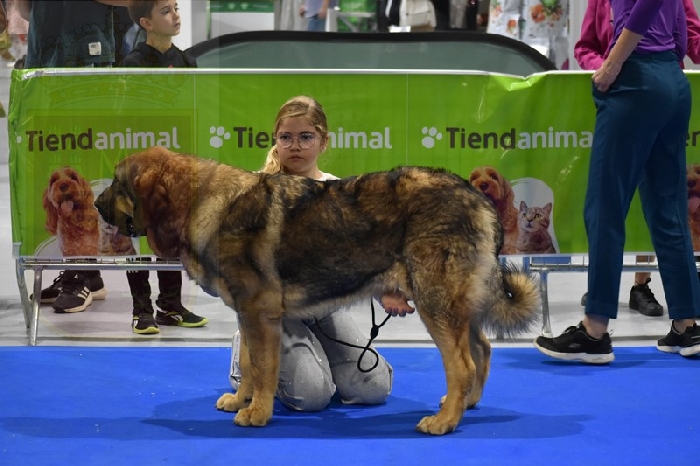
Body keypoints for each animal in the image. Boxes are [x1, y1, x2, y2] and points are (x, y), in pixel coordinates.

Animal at [95, 147, 540, 435]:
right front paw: (242, 400)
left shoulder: (259, 312)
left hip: (436, 303)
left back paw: (445, 421)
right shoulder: (248, 313)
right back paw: (462, 405)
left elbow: (263, 367)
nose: (97, 204)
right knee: (481, 350)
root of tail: (476, 195)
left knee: (462, 364)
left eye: (118, 183)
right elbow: (249, 363)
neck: (202, 202)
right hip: (454, 304)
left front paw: (257, 413)